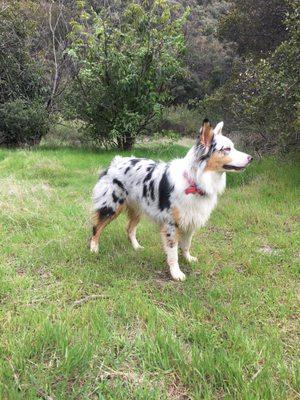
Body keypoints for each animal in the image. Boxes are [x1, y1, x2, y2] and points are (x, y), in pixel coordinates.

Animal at [90, 119, 252, 282]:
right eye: (227, 149)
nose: (251, 158)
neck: (194, 181)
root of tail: (116, 161)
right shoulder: (171, 225)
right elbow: (173, 252)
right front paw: (176, 273)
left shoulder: (190, 220)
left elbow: (186, 245)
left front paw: (188, 259)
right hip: (111, 206)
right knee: (96, 227)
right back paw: (94, 249)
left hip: (138, 209)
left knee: (129, 229)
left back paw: (136, 247)